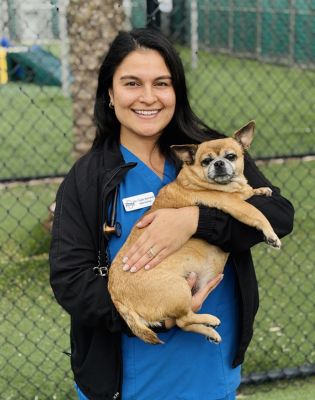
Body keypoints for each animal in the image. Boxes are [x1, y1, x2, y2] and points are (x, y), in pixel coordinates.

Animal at [108, 121, 282, 344]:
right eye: (206, 161)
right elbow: (257, 214)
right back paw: (210, 320)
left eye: (231, 156)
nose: (218, 164)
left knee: (183, 322)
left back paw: (210, 332)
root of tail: (117, 297)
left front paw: (260, 190)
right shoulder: (235, 205)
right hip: (179, 288)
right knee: (184, 318)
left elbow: (250, 192)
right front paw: (271, 235)